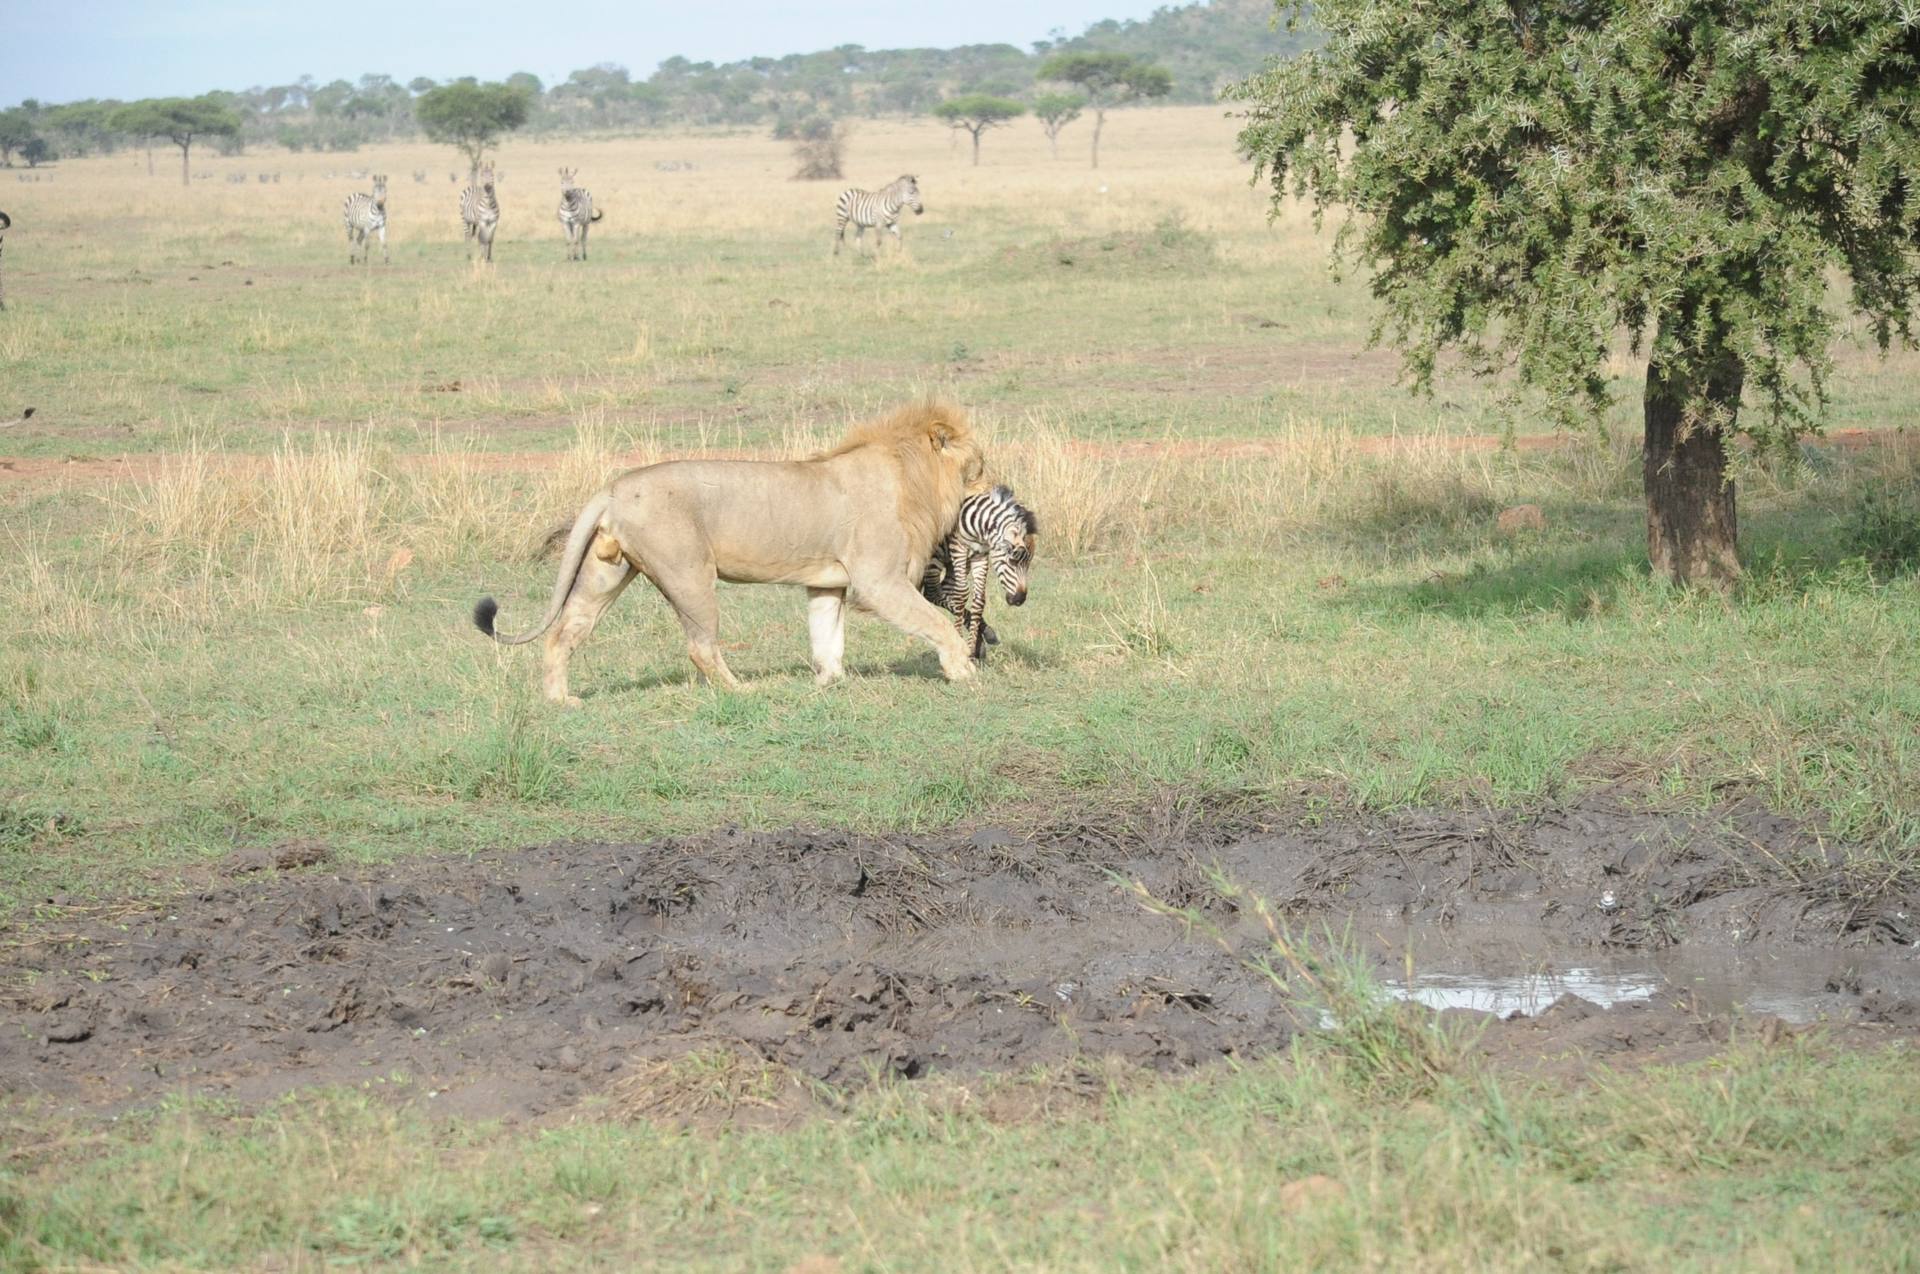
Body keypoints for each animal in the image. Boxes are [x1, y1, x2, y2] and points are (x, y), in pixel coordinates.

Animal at [474, 400, 986, 704]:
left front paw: (828, 682)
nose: (996, 486)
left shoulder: (827, 584)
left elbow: (827, 636)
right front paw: (962, 670)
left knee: (564, 633)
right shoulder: (878, 581)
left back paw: (561, 700)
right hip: (690, 574)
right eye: (979, 466)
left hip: (606, 573)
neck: (911, 475)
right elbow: (937, 622)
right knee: (701, 647)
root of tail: (612, 489)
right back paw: (741, 691)